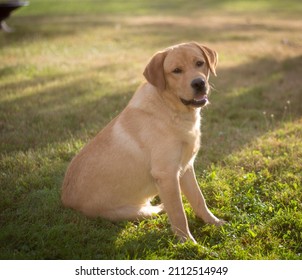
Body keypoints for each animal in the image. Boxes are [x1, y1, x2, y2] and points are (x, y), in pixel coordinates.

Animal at [62, 41, 224, 243]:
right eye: (176, 70)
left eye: (200, 63)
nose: (199, 83)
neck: (171, 108)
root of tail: (65, 201)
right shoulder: (166, 175)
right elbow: (179, 213)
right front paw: (188, 243)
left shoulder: (186, 168)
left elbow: (199, 199)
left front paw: (214, 223)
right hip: (132, 212)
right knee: (157, 210)